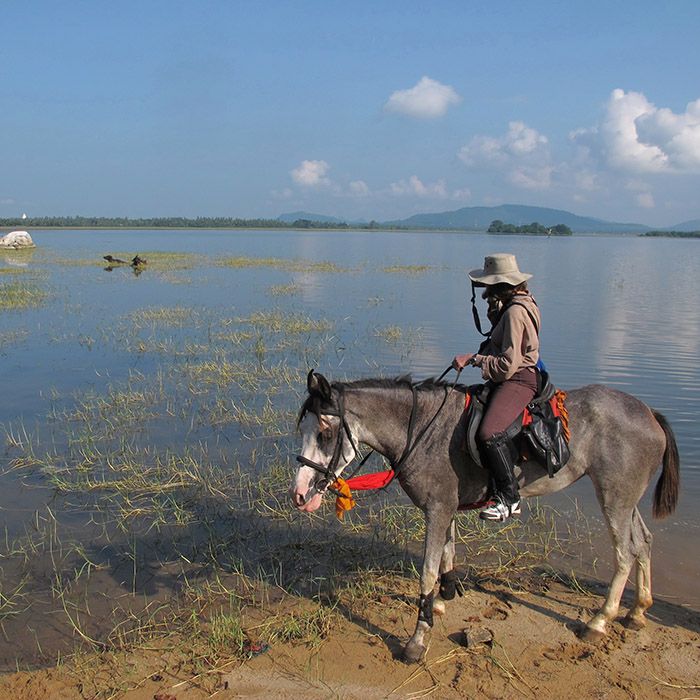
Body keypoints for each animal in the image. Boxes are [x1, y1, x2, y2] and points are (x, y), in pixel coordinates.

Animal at [290, 370, 680, 664]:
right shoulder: (443, 509)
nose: (299, 494)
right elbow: (446, 556)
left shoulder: (437, 509)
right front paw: (443, 599)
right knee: (642, 542)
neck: (423, 430)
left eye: (325, 433)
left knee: (624, 553)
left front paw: (417, 641)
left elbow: (427, 571)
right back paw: (637, 611)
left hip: (614, 497)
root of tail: (649, 413)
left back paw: (600, 621)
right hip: (625, 500)